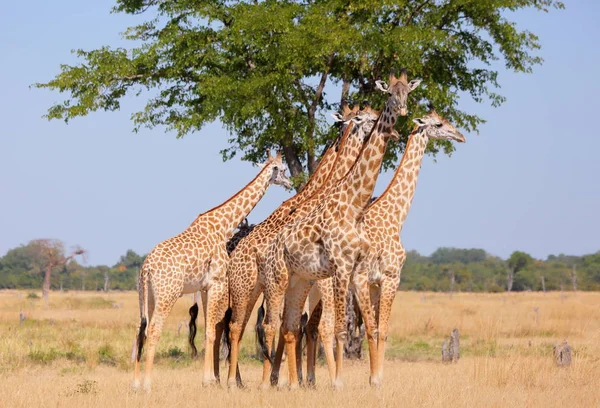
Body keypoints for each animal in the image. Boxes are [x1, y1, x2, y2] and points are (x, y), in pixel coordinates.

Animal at [132, 151, 292, 392]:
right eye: (281, 169)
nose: (290, 183)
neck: (223, 225)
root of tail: (146, 269)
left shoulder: (205, 287)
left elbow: (210, 330)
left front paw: (209, 379)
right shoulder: (217, 281)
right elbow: (210, 331)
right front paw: (209, 381)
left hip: (146, 296)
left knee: (140, 329)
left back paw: (134, 384)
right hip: (167, 294)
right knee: (154, 330)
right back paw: (148, 385)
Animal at [225, 103, 376, 388]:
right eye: (362, 118)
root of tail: (234, 249)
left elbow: (299, 326)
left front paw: (297, 379)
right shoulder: (317, 280)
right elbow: (306, 326)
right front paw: (298, 379)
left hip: (255, 287)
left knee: (241, 324)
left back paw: (237, 379)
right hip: (246, 285)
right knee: (239, 325)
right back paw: (235, 380)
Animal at [258, 69, 422, 388]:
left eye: (407, 92)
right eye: (389, 94)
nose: (401, 113)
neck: (353, 206)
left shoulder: (357, 269)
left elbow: (352, 326)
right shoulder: (342, 267)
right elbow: (339, 329)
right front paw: (338, 383)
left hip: (298, 281)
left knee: (290, 325)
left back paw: (290, 384)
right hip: (277, 279)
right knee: (270, 324)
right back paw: (264, 382)